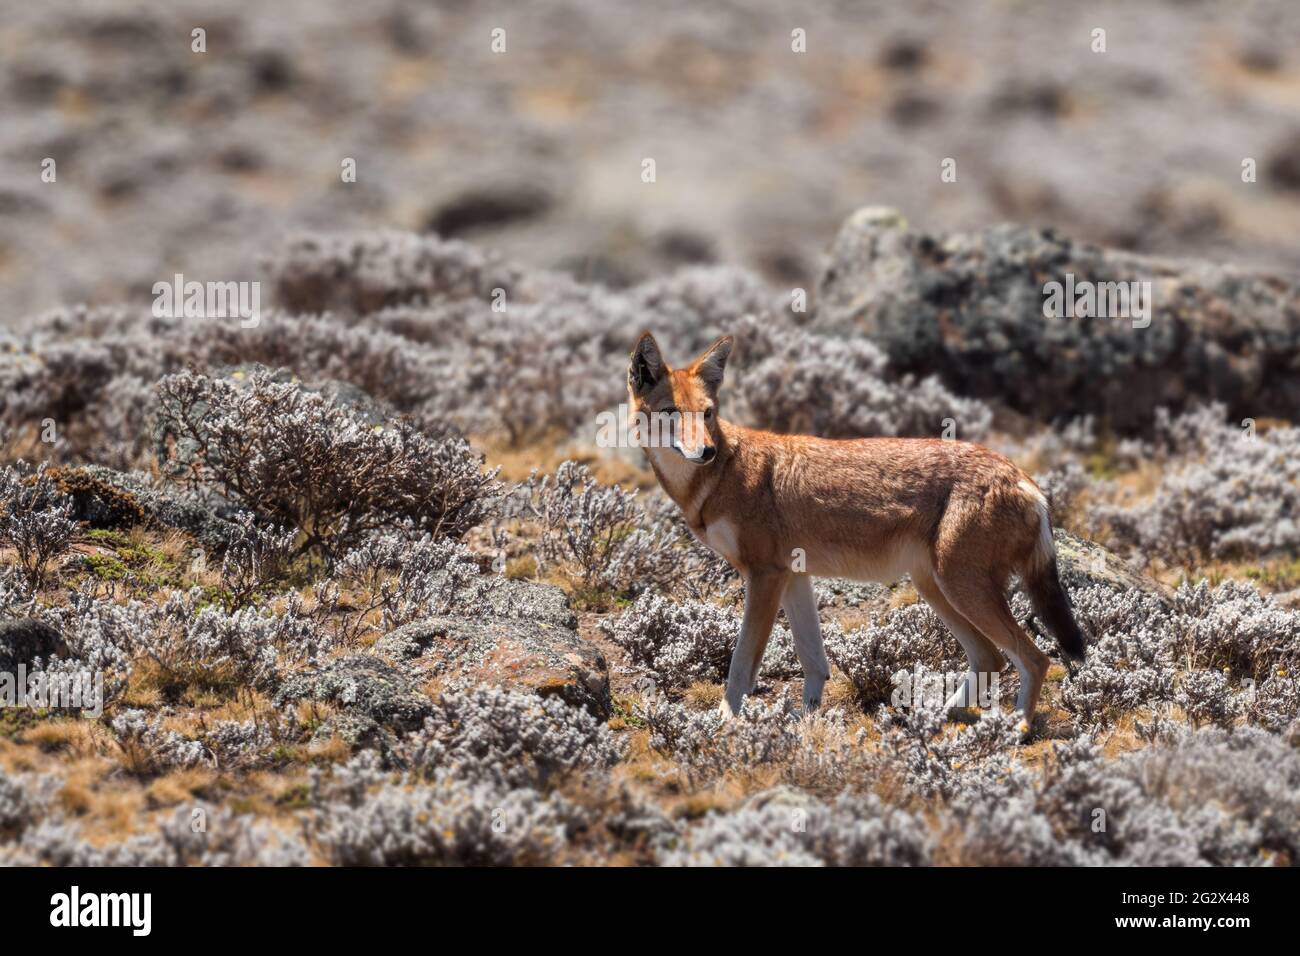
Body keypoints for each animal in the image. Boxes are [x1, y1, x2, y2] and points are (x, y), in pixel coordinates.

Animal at [629, 332, 1086, 728]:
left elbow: (742, 663)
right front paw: (808, 718)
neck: (716, 478)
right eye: (671, 414)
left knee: (1035, 658)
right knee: (991, 657)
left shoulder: (765, 576)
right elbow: (814, 660)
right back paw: (936, 718)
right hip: (936, 588)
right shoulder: (792, 576)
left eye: (707, 413)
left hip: (960, 588)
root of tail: (1025, 480)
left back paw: (1016, 729)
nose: (705, 451)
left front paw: (724, 721)